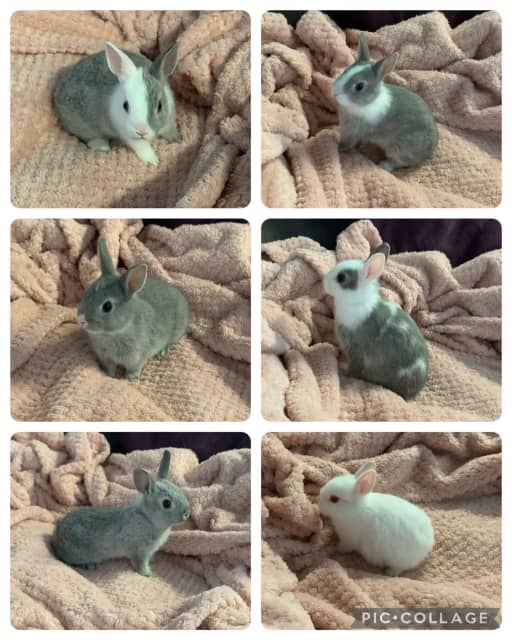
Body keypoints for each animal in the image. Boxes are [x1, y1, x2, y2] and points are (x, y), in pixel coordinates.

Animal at [51, 450, 190, 577]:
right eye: (166, 503)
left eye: (180, 491)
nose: (187, 513)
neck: (148, 518)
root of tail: (56, 541)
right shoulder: (139, 551)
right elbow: (140, 564)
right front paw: (147, 573)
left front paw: (153, 561)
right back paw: (90, 565)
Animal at [77, 237, 189, 380]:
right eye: (87, 292)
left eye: (107, 306)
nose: (81, 319)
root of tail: (182, 298)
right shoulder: (106, 358)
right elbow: (110, 369)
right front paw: (110, 376)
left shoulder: (136, 359)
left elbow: (133, 370)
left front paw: (128, 379)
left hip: (176, 333)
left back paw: (162, 352)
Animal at [323, 242, 428, 399]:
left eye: (341, 278)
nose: (324, 281)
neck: (358, 302)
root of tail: (417, 390)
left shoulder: (357, 351)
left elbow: (354, 368)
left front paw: (344, 374)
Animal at [332, 33, 438, 171]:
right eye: (345, 71)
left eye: (359, 86)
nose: (335, 92)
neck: (368, 102)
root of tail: (430, 152)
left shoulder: (353, 132)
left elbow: (347, 143)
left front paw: (338, 148)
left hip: (399, 149)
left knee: (400, 162)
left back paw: (383, 166)